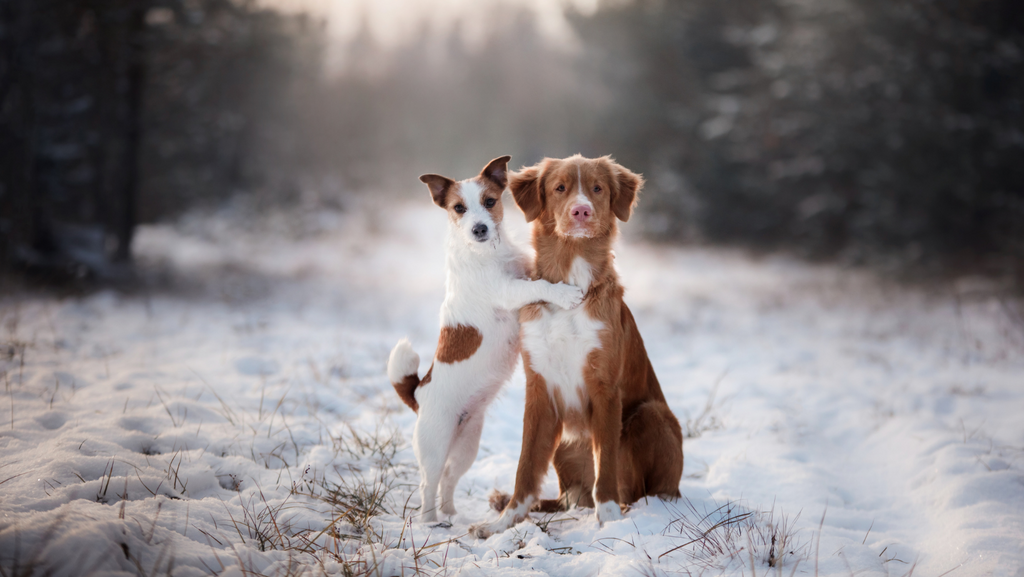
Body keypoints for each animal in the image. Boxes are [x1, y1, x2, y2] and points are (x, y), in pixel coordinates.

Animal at [385, 155, 585, 520]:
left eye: (490, 202)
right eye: (459, 208)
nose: (479, 229)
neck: (487, 254)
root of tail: (418, 395)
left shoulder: (521, 270)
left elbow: (533, 273)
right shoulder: (509, 291)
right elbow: (537, 286)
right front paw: (564, 294)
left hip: (467, 444)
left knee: (449, 478)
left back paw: (450, 515)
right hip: (435, 446)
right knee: (428, 484)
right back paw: (430, 521)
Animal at [468, 153, 679, 537]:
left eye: (597, 188)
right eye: (560, 188)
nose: (581, 211)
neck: (570, 282)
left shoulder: (605, 387)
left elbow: (606, 463)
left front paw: (609, 520)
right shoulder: (539, 388)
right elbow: (525, 467)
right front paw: (504, 522)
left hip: (651, 414)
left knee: (642, 489)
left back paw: (634, 509)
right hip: (565, 443)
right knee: (569, 498)